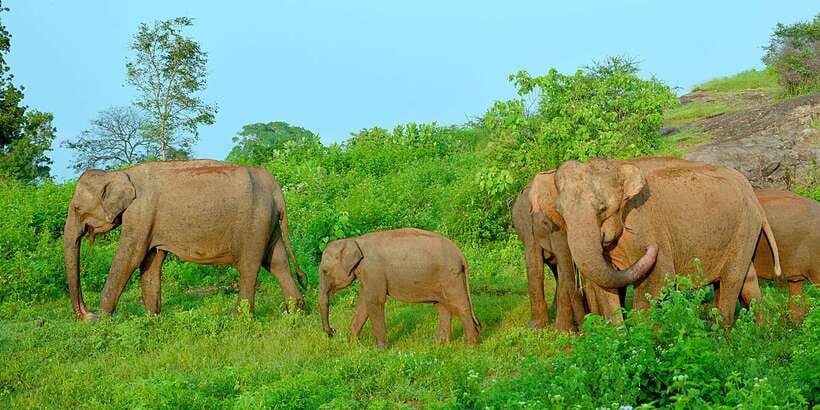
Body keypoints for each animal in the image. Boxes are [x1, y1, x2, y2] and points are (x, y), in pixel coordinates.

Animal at [64, 160, 306, 320]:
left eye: (76, 208)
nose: (86, 313)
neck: (120, 173)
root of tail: (275, 188)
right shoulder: (150, 222)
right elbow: (151, 262)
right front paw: (152, 319)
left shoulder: (140, 213)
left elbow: (130, 258)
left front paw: (101, 321)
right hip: (269, 223)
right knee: (277, 262)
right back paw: (297, 313)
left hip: (254, 223)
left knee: (249, 267)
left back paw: (240, 319)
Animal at [318, 228, 481, 348]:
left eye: (325, 271)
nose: (332, 331)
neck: (354, 240)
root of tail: (461, 255)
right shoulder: (367, 274)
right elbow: (364, 303)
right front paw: (352, 343)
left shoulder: (373, 270)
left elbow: (374, 301)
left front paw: (379, 349)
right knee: (442, 306)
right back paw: (439, 343)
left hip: (450, 276)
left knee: (459, 305)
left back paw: (470, 346)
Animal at [512, 183, 621, 330]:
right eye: (546, 223)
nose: (582, 330)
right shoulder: (528, 231)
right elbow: (534, 265)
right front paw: (536, 327)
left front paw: (563, 331)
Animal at [530, 157, 782, 326]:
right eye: (559, 212)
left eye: (602, 208)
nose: (652, 249)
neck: (619, 166)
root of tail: (751, 191)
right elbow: (605, 287)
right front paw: (620, 343)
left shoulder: (647, 225)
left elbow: (658, 279)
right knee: (747, 279)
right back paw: (762, 329)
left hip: (745, 225)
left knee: (733, 278)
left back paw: (723, 335)